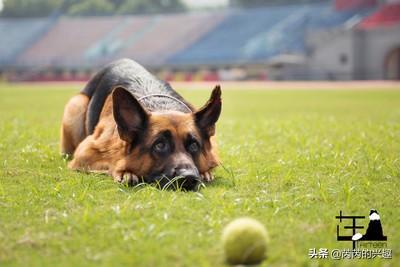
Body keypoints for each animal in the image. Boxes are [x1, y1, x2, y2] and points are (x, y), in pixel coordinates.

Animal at [61, 59, 222, 192]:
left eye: (194, 145)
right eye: (159, 145)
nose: (188, 177)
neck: (161, 106)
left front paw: (205, 172)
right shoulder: (84, 154)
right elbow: (112, 162)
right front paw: (125, 172)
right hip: (76, 105)